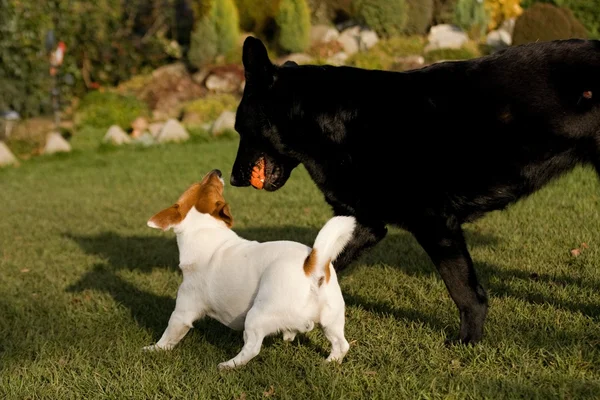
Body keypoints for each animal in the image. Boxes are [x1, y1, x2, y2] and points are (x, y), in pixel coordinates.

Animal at [142, 169, 354, 368]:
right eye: (201, 183)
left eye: (207, 184)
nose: (217, 171)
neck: (205, 229)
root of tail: (312, 264)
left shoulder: (183, 310)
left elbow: (169, 335)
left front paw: (153, 349)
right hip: (332, 319)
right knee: (341, 344)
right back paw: (329, 362)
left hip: (256, 316)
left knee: (252, 348)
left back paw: (228, 365)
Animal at [230, 36, 600, 346]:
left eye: (239, 128)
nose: (232, 179)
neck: (334, 122)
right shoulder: (366, 223)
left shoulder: (436, 225)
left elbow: (466, 292)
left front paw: (468, 342)